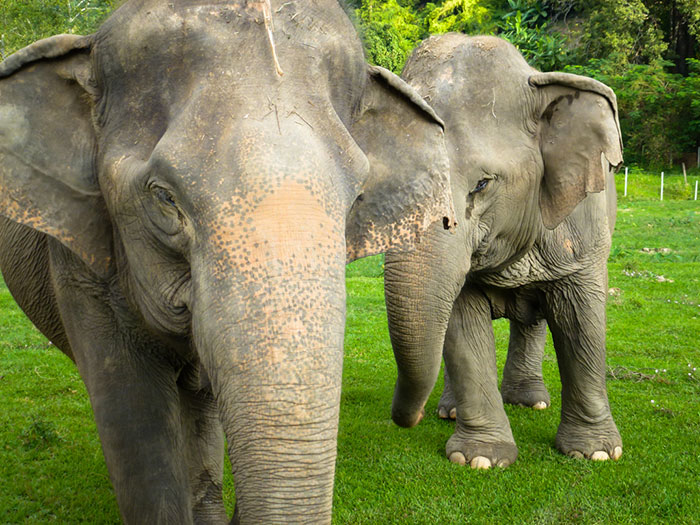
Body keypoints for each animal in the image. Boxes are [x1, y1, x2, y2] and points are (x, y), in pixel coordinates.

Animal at [383, 34, 623, 470]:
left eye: (481, 184)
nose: (412, 417)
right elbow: (461, 325)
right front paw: (480, 459)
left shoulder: (584, 230)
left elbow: (582, 320)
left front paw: (596, 453)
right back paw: (452, 411)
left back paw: (529, 402)